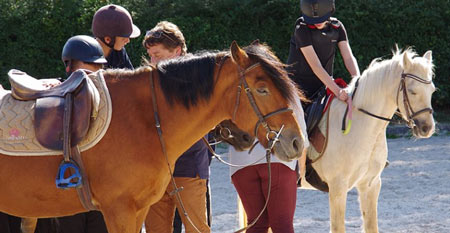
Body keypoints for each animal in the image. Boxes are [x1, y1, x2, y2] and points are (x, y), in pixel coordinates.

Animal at [298, 47, 436, 233]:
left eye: (432, 90)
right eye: (413, 91)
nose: (427, 128)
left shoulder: (370, 185)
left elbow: (371, 225)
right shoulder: (338, 188)